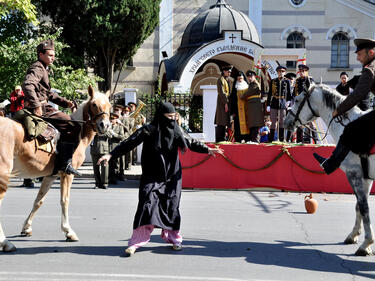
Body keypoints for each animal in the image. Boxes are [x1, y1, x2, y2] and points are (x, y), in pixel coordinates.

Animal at [0, 85, 111, 252]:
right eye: (93, 104)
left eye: (109, 106)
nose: (105, 125)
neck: (79, 133)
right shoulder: (67, 173)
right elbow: (65, 200)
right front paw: (68, 231)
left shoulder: (50, 175)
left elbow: (39, 200)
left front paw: (27, 227)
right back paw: (5, 243)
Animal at [284, 82, 375, 256]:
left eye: (297, 100)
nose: (286, 121)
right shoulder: (365, 179)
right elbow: (359, 206)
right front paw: (354, 235)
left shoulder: (354, 175)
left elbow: (363, 207)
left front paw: (366, 244)